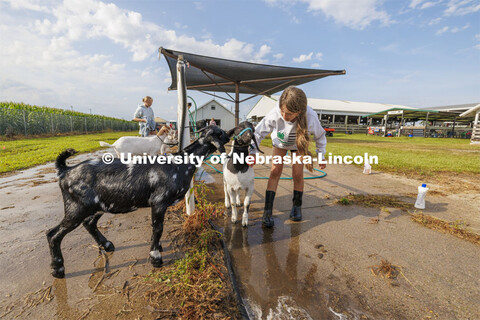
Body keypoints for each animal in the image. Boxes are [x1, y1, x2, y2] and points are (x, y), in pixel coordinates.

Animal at [47, 125, 232, 278]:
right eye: (221, 133)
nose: (231, 133)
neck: (180, 163)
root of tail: (65, 170)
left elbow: (156, 228)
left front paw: (157, 248)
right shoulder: (158, 202)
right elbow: (158, 228)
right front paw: (156, 257)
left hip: (97, 206)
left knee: (89, 223)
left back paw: (106, 245)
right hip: (76, 208)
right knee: (53, 234)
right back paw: (58, 269)